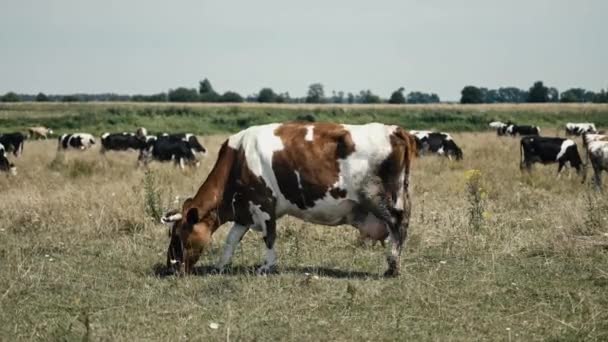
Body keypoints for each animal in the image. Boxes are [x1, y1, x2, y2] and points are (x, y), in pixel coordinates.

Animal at [159, 123, 416, 278]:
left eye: (178, 236)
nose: (171, 268)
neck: (238, 158)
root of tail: (394, 130)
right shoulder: (244, 211)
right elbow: (231, 240)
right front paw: (221, 266)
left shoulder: (264, 204)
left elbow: (269, 237)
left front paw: (267, 267)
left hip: (380, 198)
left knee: (398, 225)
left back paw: (392, 267)